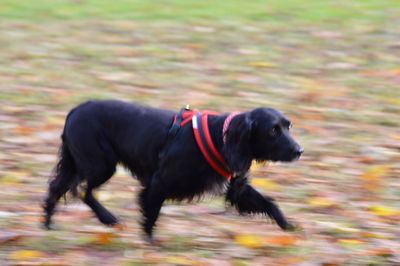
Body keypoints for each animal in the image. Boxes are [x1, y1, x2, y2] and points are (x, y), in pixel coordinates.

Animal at [43, 100, 304, 241]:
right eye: (273, 130)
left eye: (288, 126)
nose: (299, 150)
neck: (221, 136)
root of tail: (75, 110)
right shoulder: (158, 183)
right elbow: (151, 216)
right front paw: (150, 246)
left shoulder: (237, 189)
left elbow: (269, 204)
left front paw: (289, 227)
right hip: (101, 165)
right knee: (82, 191)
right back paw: (108, 218)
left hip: (80, 164)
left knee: (58, 188)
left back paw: (47, 225)